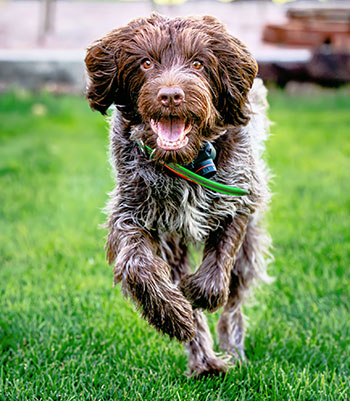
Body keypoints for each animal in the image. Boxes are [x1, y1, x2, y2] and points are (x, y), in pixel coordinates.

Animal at [84, 13, 270, 376]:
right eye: (146, 63)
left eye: (198, 63)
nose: (171, 96)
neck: (186, 162)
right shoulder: (134, 213)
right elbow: (138, 266)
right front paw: (173, 315)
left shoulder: (241, 197)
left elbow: (219, 265)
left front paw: (197, 292)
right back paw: (204, 359)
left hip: (249, 244)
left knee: (235, 297)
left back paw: (232, 349)